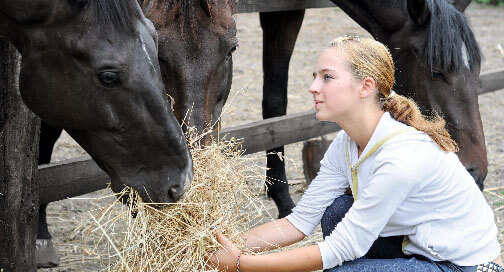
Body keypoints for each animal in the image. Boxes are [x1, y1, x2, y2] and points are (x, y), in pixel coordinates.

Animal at [258, 0, 486, 218]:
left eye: (477, 70)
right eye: (436, 72)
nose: (477, 172)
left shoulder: (288, 15)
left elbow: (275, 101)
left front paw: (280, 197)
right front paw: (282, 199)